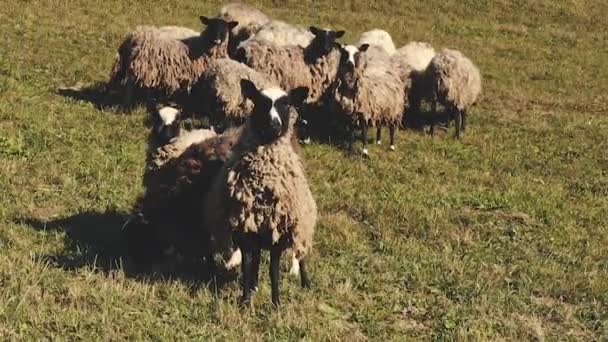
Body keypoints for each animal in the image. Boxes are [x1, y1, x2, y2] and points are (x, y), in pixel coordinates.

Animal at [110, 16, 239, 109]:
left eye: (225, 28)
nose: (217, 40)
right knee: (129, 86)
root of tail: (132, 35)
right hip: (140, 65)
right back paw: (127, 105)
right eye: (211, 26)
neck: (202, 45)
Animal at [205, 79, 318, 306]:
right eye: (260, 102)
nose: (274, 125)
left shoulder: (277, 235)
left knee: (300, 252)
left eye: (286, 103)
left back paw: (305, 282)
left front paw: (276, 304)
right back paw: (255, 287)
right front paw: (245, 301)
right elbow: (247, 267)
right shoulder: (245, 232)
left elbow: (274, 271)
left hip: (300, 220)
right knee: (256, 259)